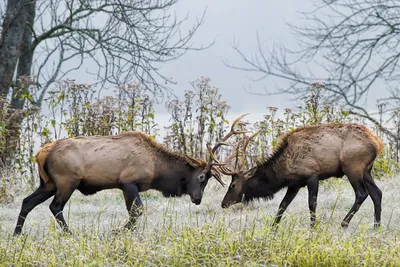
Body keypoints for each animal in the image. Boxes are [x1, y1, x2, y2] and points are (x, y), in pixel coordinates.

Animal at [12, 115, 248, 237]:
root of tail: (40, 153)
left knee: (27, 201)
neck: (157, 168)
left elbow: (132, 212)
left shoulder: (125, 186)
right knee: (55, 206)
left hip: (48, 183)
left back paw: (16, 234)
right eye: (201, 177)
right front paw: (117, 231)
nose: (198, 199)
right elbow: (138, 211)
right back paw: (71, 234)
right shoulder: (129, 182)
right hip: (66, 181)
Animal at [219, 123, 384, 230]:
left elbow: (312, 203)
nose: (223, 203)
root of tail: (378, 143)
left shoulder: (312, 175)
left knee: (362, 193)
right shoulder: (295, 183)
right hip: (366, 170)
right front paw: (273, 228)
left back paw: (344, 224)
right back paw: (377, 226)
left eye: (233, 185)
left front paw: (312, 227)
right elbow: (282, 205)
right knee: (377, 193)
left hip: (352, 166)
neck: (282, 171)